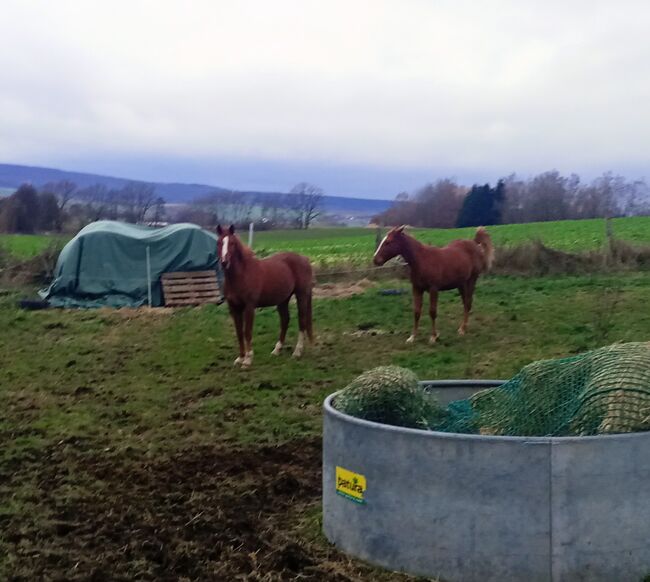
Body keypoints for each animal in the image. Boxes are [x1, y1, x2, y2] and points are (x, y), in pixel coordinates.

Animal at [216, 224, 314, 367]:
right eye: (219, 242)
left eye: (232, 243)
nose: (224, 262)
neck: (241, 275)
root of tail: (304, 259)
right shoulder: (234, 308)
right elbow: (239, 332)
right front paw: (240, 358)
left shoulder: (249, 307)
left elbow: (247, 332)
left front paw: (248, 360)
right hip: (283, 299)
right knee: (285, 320)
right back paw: (277, 350)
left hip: (301, 295)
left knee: (302, 321)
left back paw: (297, 352)